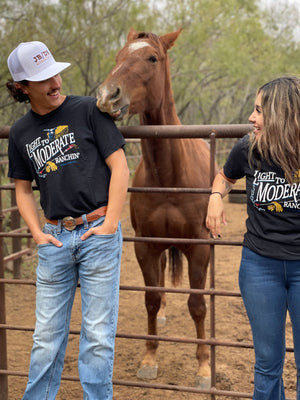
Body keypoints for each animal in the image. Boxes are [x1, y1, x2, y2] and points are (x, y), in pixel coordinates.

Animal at [96, 27, 213, 388]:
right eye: (118, 56)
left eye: (152, 58)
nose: (107, 95)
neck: (169, 175)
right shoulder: (146, 246)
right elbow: (150, 298)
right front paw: (149, 359)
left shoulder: (199, 247)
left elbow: (197, 304)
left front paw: (204, 367)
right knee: (160, 282)